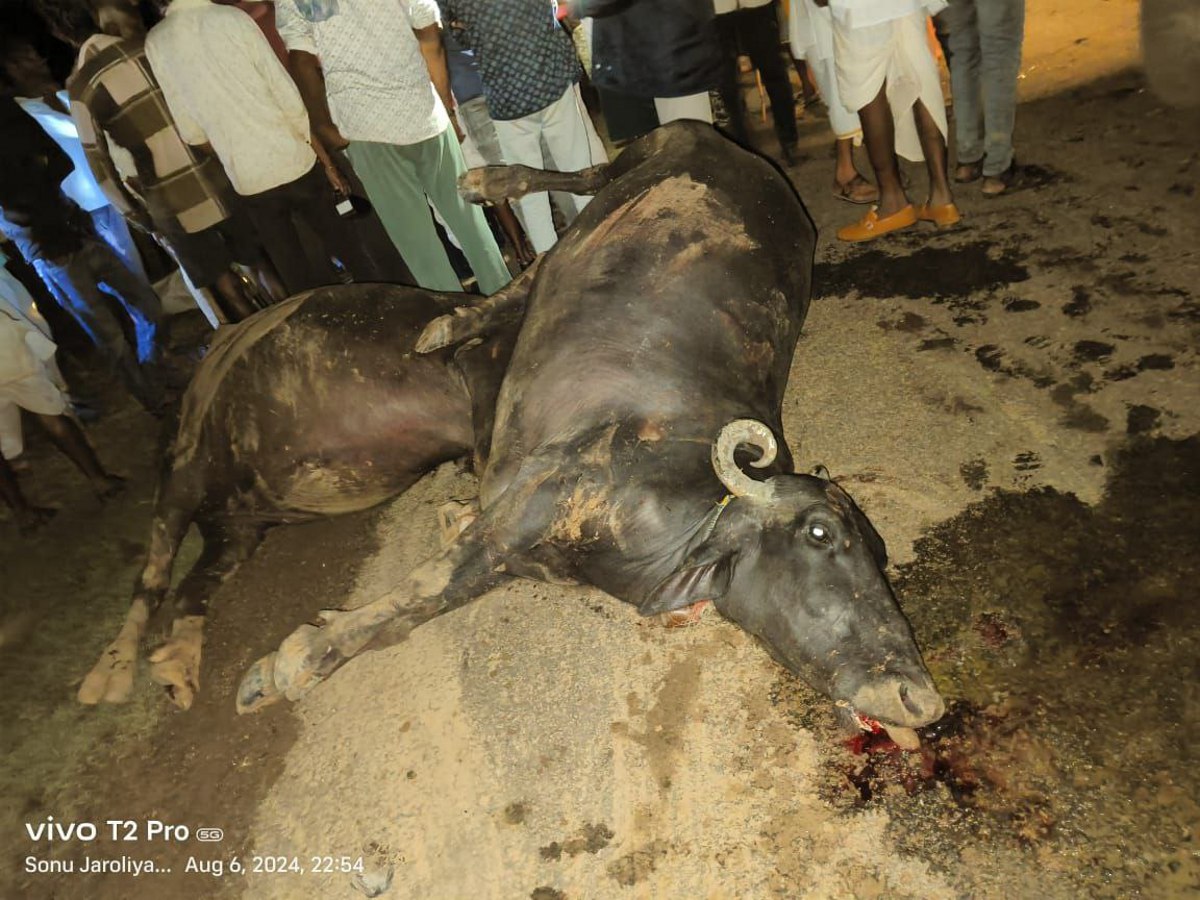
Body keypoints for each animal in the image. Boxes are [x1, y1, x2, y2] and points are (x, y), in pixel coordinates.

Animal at [77, 281, 526, 710]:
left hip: (235, 525)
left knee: (193, 586)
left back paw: (178, 673)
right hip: (183, 472)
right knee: (153, 575)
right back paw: (108, 676)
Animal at [236, 122, 945, 740]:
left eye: (881, 554)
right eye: (820, 534)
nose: (922, 698)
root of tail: (746, 158)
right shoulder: (523, 512)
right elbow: (419, 594)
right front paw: (285, 667)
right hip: (637, 158)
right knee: (567, 203)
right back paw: (471, 233)